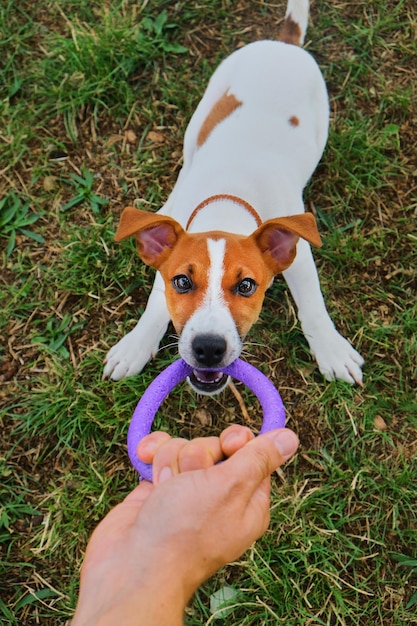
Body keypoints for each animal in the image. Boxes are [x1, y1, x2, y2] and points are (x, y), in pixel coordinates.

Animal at [102, 0, 362, 390]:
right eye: (182, 282)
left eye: (246, 286)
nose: (208, 348)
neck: (228, 201)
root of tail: (283, 44)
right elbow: (155, 302)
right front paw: (135, 344)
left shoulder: (299, 255)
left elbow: (313, 303)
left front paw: (332, 350)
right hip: (204, 107)